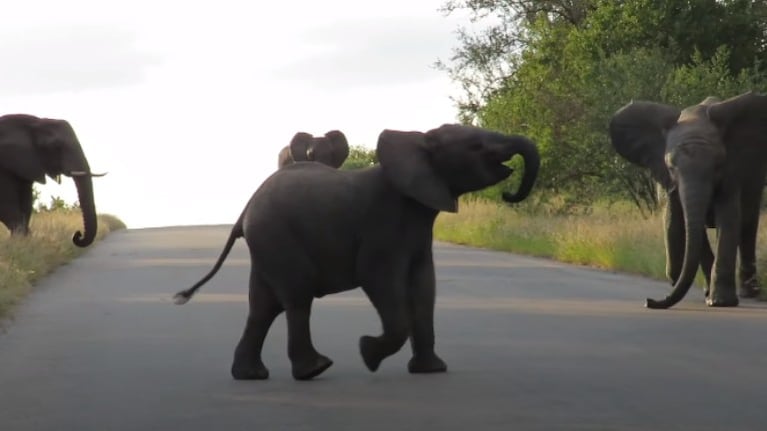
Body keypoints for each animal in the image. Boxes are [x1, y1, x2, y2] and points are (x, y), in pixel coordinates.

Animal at [0, 115, 104, 248]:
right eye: (56, 146)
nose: (77, 234)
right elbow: (6, 205)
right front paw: (21, 242)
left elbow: (26, 203)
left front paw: (26, 241)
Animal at [173, 124, 540, 382]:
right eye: (475, 146)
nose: (508, 194)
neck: (417, 143)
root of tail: (246, 209)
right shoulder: (383, 224)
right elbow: (378, 278)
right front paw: (368, 353)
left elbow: (424, 286)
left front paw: (432, 370)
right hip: (276, 235)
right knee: (296, 297)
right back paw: (314, 370)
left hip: (267, 242)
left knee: (263, 306)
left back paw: (251, 375)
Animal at [612, 91, 767, 308]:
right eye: (670, 167)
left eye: (718, 165)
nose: (649, 301)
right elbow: (691, 226)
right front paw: (711, 296)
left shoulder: (731, 172)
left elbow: (728, 222)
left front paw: (720, 302)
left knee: (748, 225)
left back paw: (749, 293)